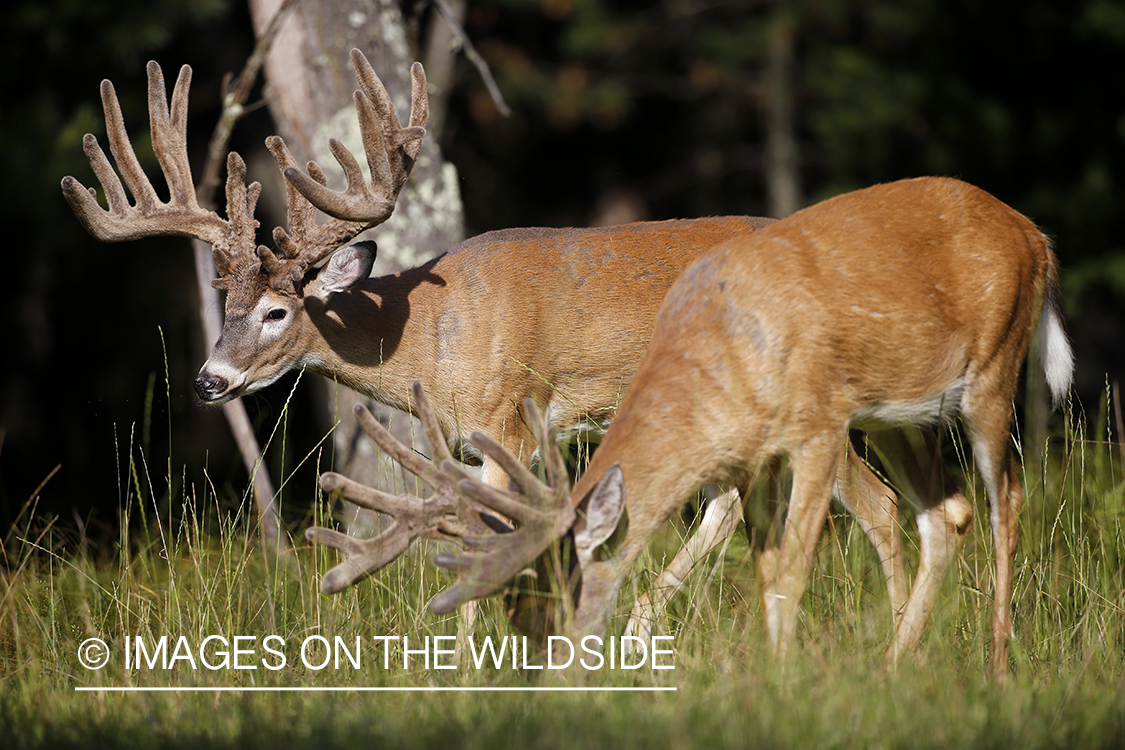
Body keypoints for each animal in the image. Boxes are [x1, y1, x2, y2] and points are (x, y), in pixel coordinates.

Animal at [427, 177, 1071, 679]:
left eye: (558, 594)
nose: (537, 673)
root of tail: (1037, 236)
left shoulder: (817, 426)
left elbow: (792, 566)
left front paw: (782, 682)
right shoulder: (760, 451)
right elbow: (766, 569)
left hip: (993, 373)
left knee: (1003, 499)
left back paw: (996, 669)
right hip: (899, 414)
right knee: (943, 512)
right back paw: (893, 664)